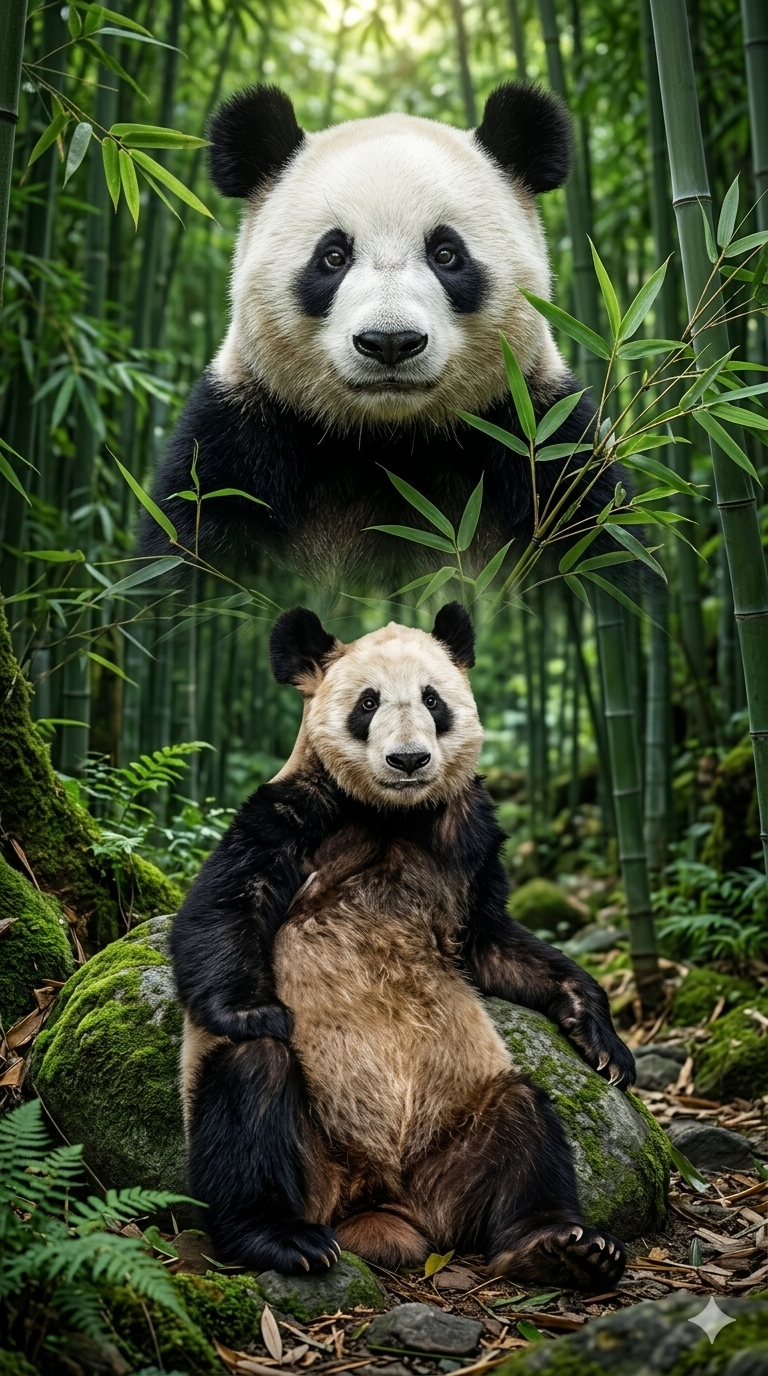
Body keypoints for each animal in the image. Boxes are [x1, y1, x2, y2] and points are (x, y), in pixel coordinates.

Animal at [143, 83, 609, 589]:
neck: (390, 439)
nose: (390, 342)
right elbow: (189, 549)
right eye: (333, 256)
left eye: (446, 253)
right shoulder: (239, 439)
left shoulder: (541, 441)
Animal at [171, 602, 635, 1286]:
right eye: (367, 703)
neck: (395, 813)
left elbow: (494, 944)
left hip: (456, 1135)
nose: (410, 760)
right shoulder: (295, 809)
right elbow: (223, 905)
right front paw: (253, 1009)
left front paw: (603, 1042)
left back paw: (560, 1246)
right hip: (309, 1154)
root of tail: (381, 1199)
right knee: (250, 1096)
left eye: (432, 699)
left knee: (524, 1119)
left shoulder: (468, 836)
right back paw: (281, 1237)